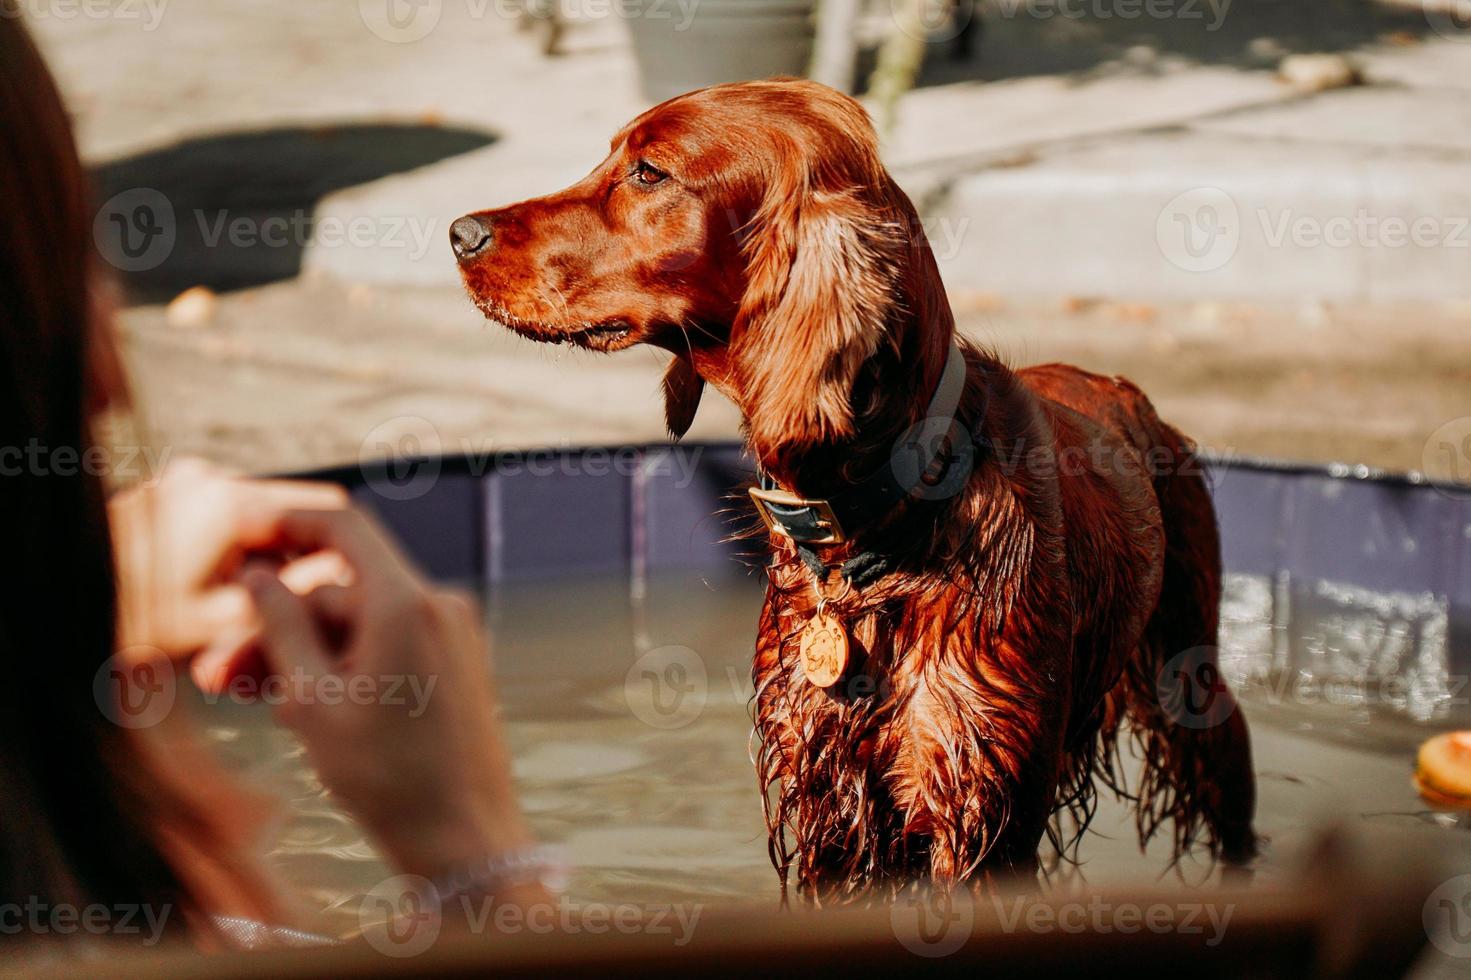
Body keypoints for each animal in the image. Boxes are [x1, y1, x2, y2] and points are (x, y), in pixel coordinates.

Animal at [453, 78, 1259, 900]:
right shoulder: (831, 806)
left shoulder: (981, 816)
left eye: (649, 172)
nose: (459, 233)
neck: (884, 523)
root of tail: (1124, 390)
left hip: (1193, 687)